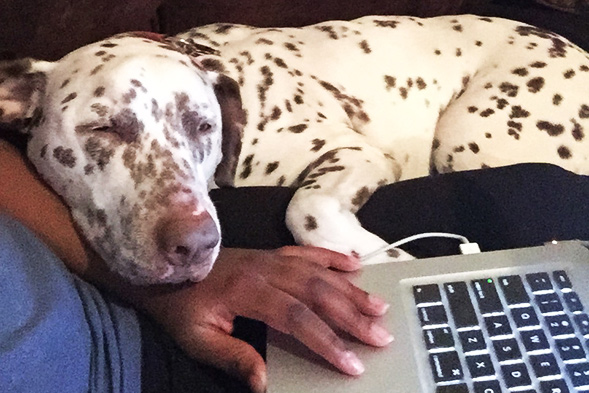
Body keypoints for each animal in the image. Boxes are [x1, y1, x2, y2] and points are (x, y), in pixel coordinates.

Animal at [0, 15, 584, 284]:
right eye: (102, 128)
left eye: (203, 126)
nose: (195, 244)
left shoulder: (354, 151)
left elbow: (306, 207)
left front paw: (385, 256)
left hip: (463, 139)